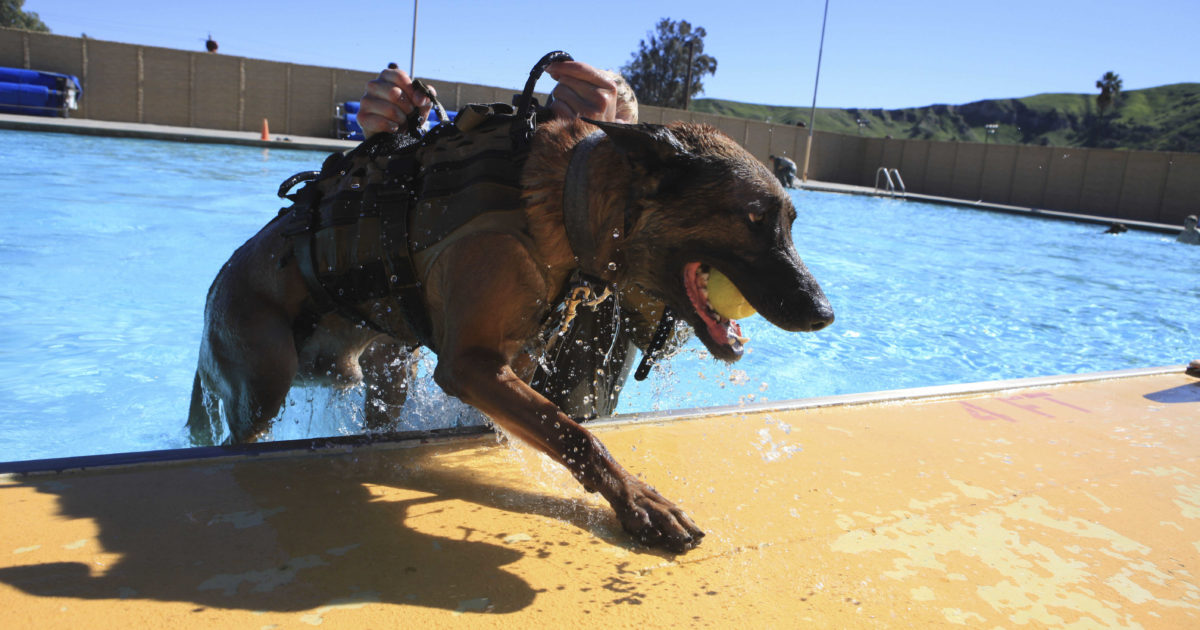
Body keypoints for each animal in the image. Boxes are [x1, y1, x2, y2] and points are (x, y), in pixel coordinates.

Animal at [189, 114, 835, 549]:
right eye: (754, 217)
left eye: (790, 220)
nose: (824, 312)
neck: (565, 206)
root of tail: (213, 292)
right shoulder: (469, 364)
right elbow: (578, 434)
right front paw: (639, 502)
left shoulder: (514, 362)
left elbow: (551, 425)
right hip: (264, 380)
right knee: (240, 430)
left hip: (377, 372)